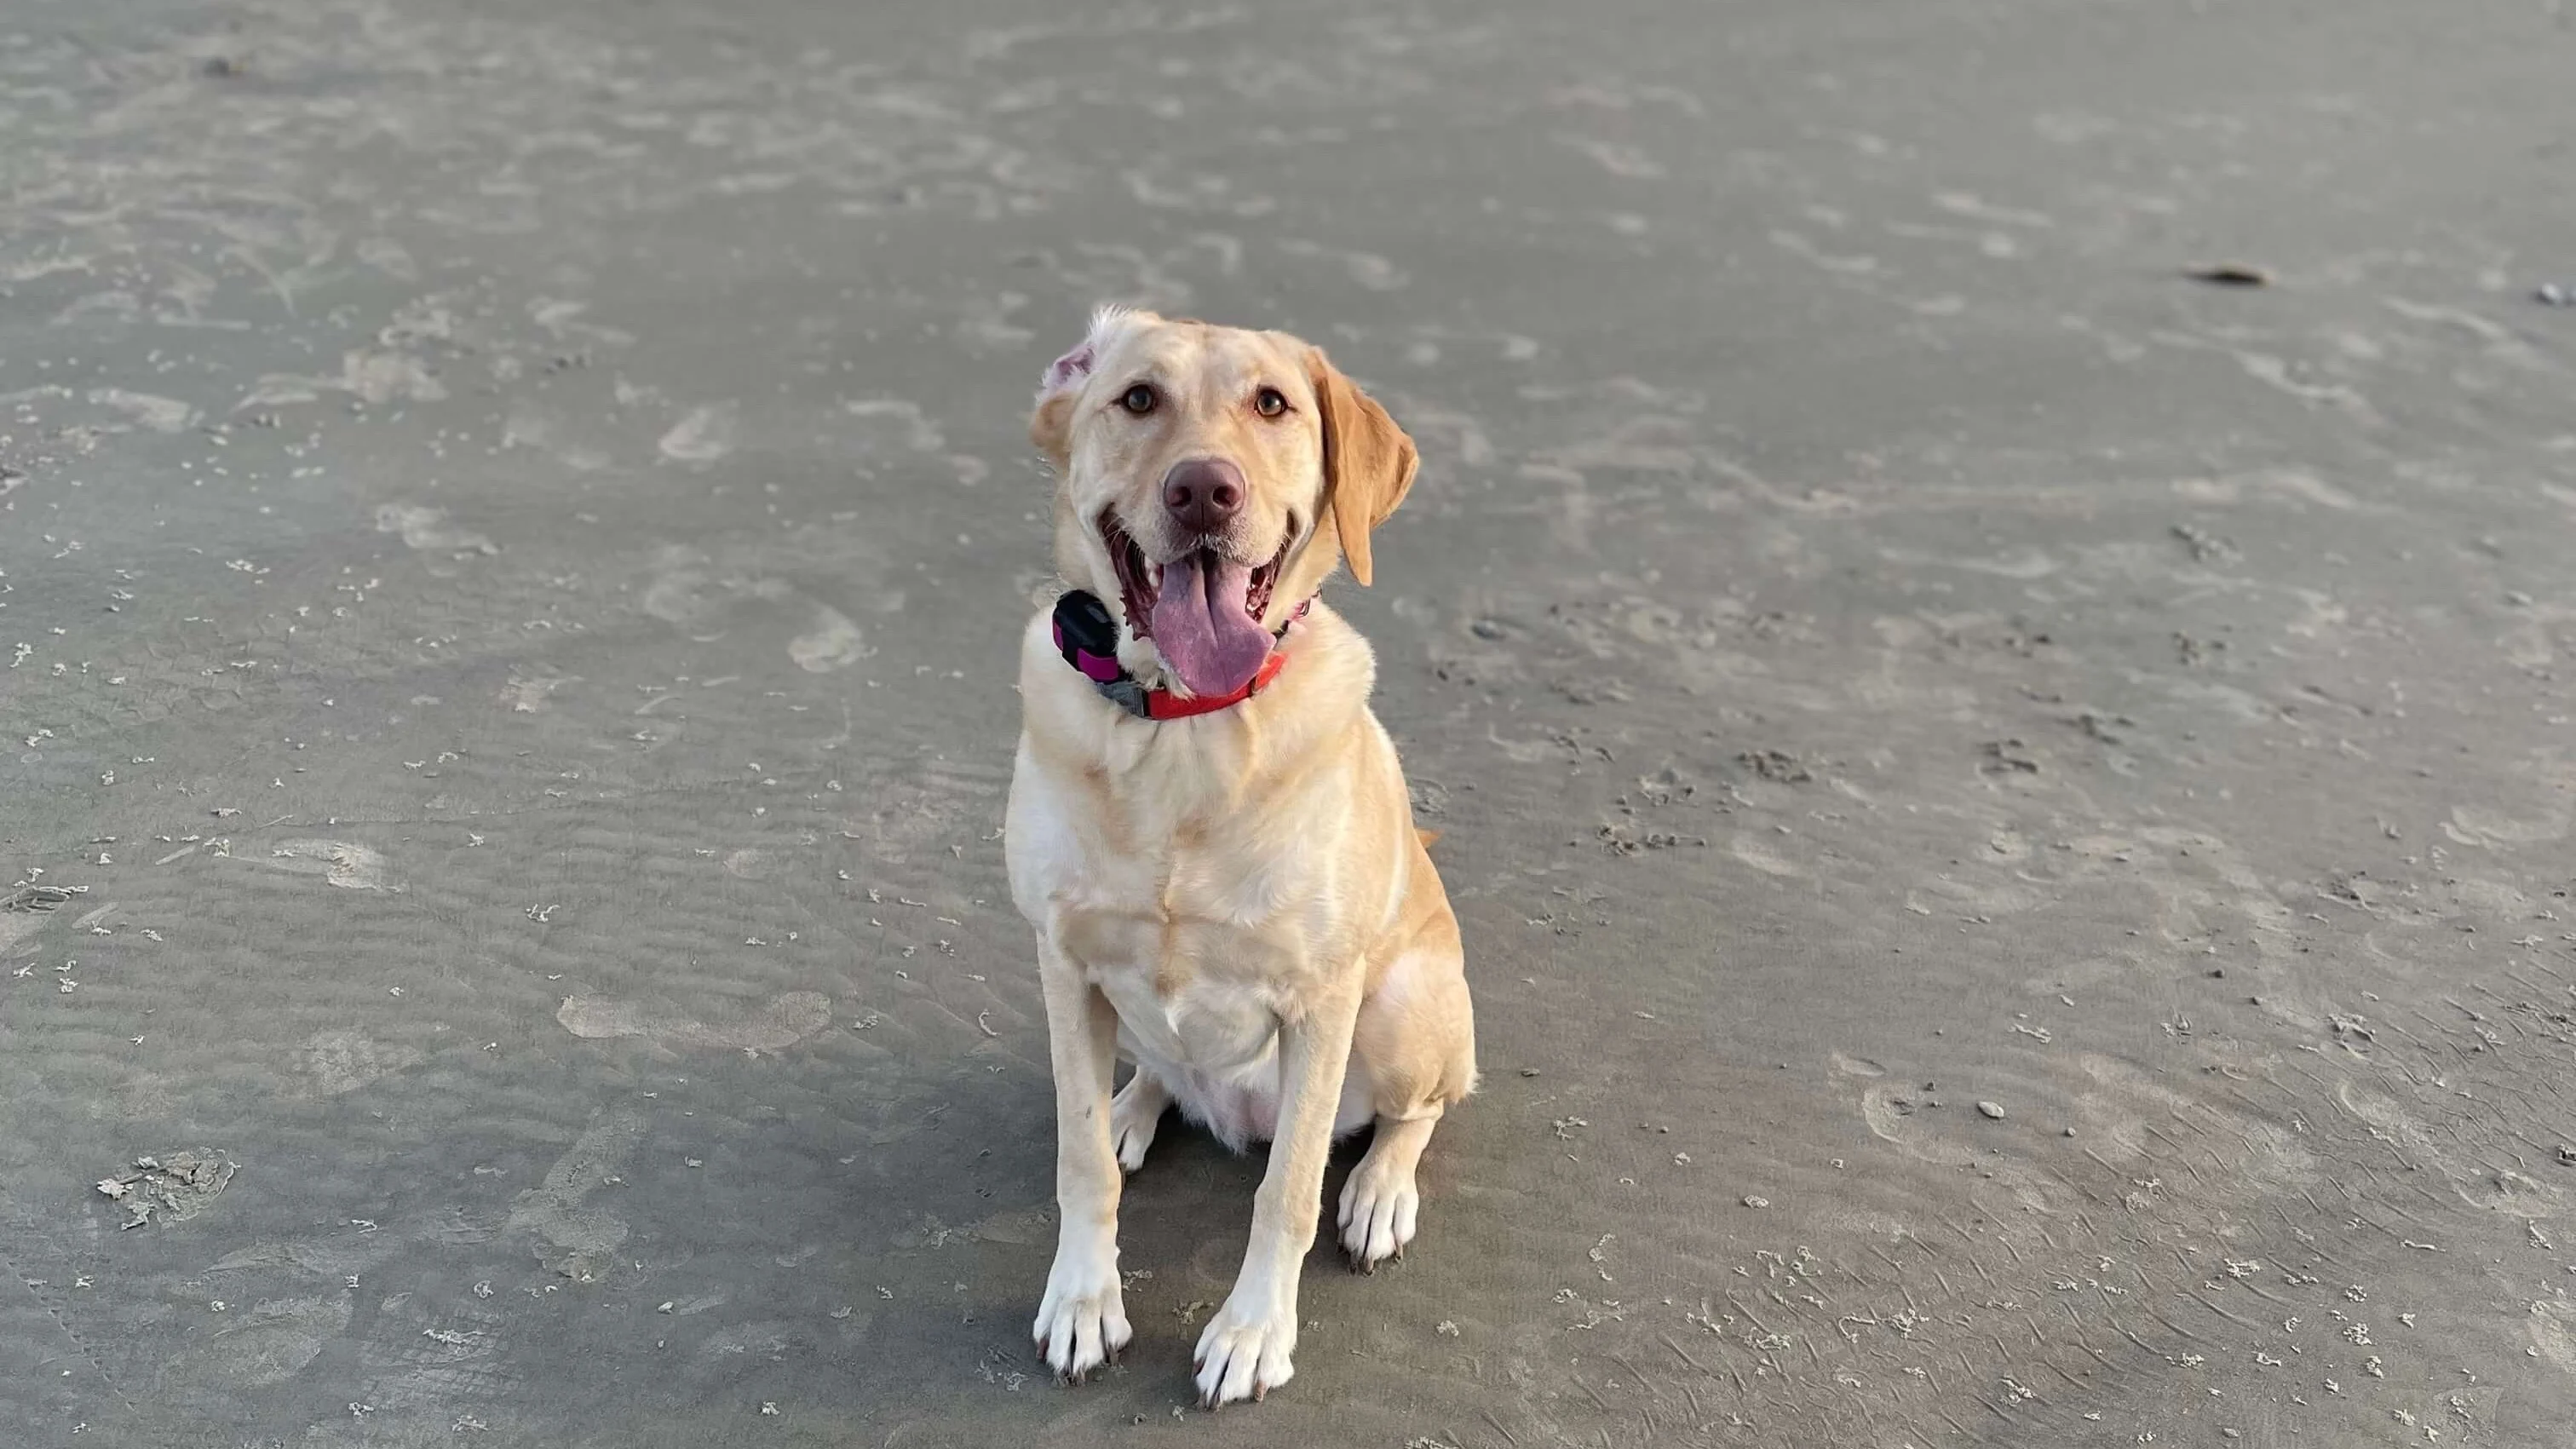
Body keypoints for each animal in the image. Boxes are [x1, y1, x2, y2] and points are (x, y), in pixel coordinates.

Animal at [1009, 304, 1483, 1402]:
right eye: (1138, 398)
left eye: (1272, 404)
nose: (1203, 490)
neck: (1185, 726)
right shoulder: (1063, 963)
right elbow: (1080, 1161)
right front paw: (1083, 1300)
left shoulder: (1322, 999)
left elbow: (1289, 1191)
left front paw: (1254, 1333)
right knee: (1149, 1079)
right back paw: (1137, 1104)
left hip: (1401, 1010)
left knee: (1420, 1111)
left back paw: (1381, 1190)